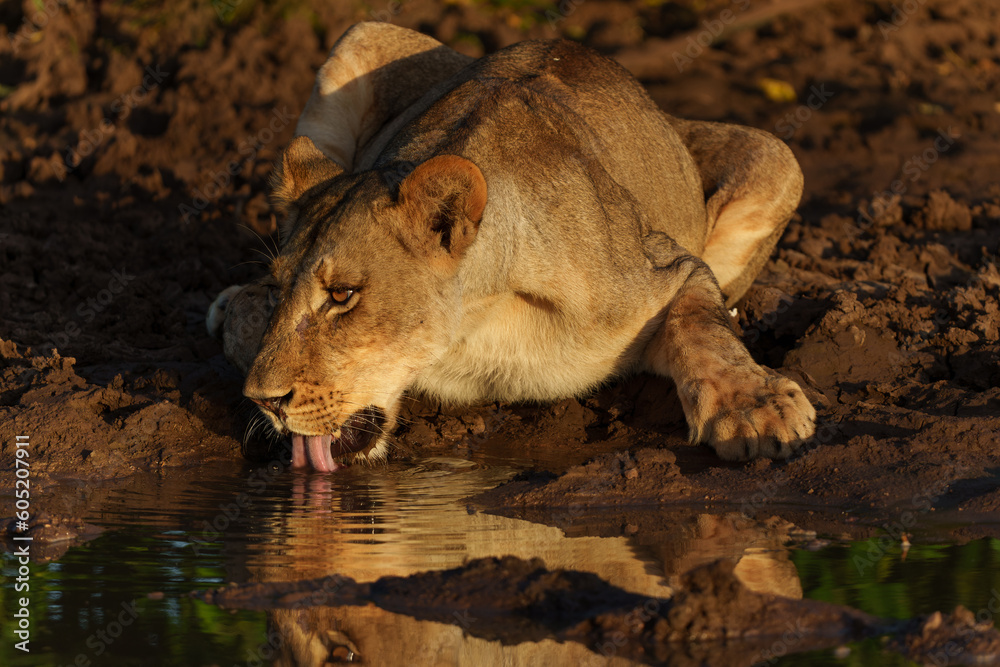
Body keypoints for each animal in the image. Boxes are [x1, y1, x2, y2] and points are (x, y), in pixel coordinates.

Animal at [207, 22, 815, 471]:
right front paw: (240, 310)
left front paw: (756, 409)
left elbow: (704, 329)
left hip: (779, 156)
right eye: (281, 290)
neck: (475, 323)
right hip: (361, 34)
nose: (263, 401)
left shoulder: (669, 267)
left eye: (342, 295)